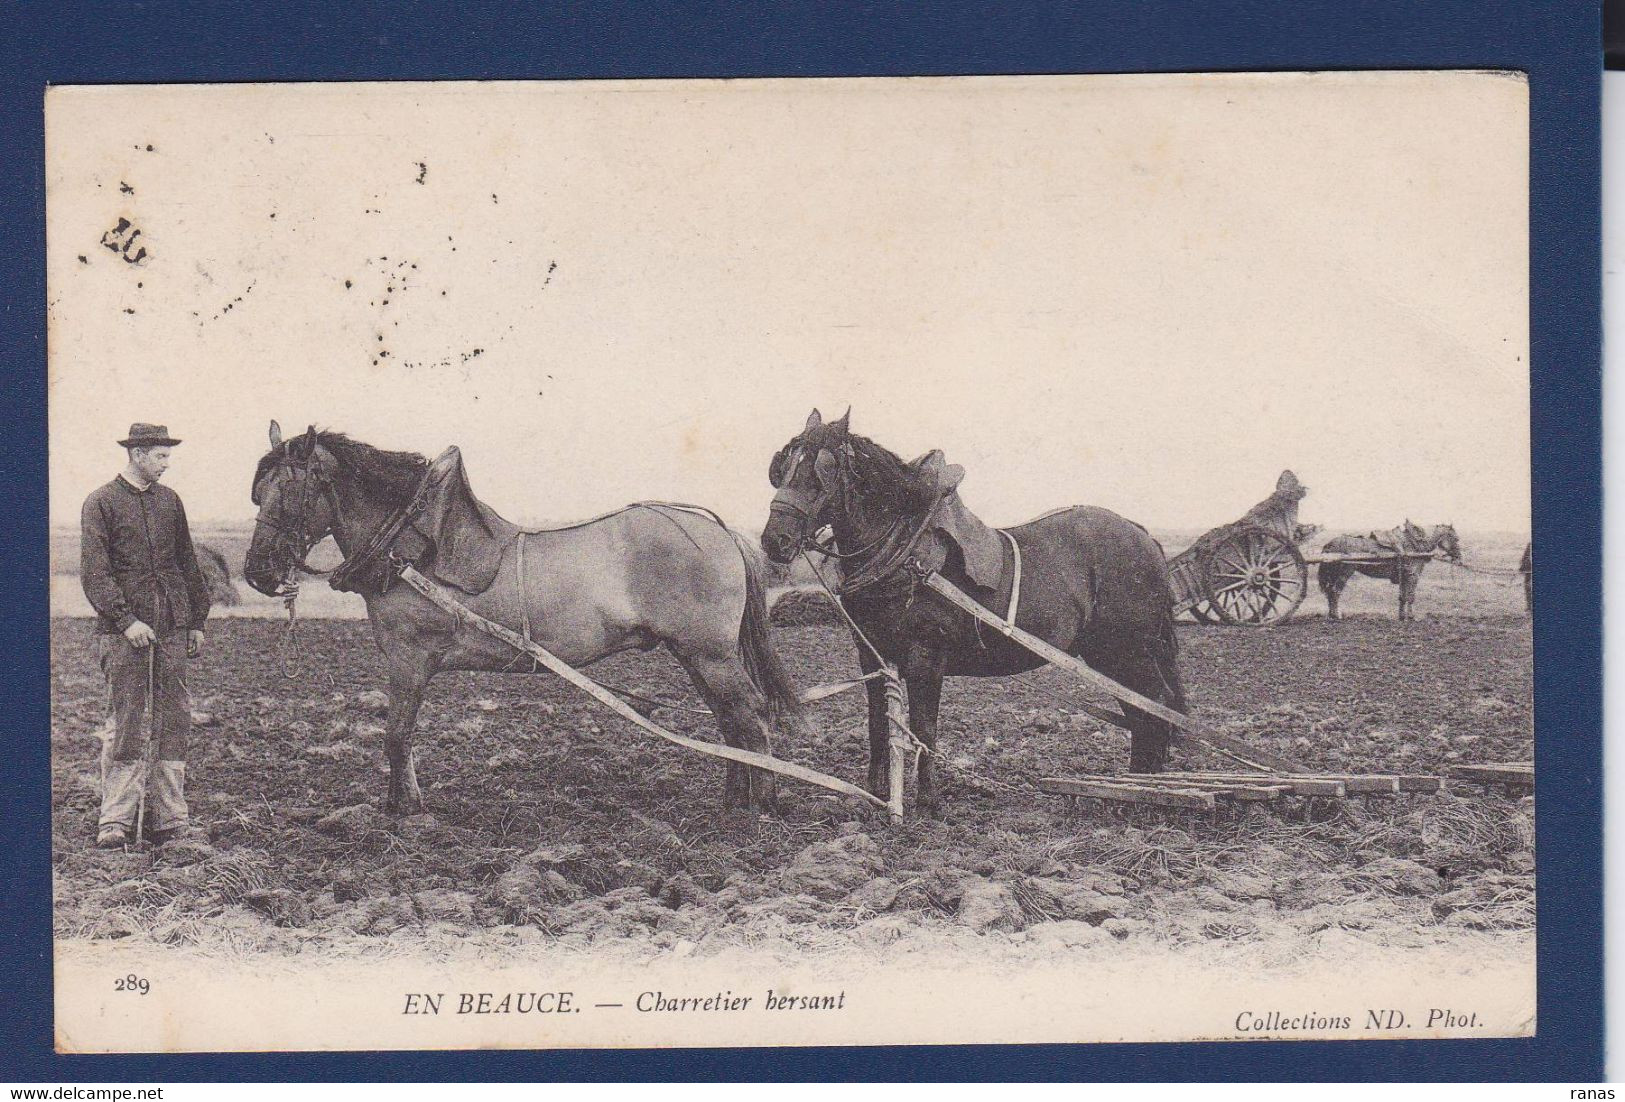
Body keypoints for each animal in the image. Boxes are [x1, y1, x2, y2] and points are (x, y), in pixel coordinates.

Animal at [238, 422, 799, 812]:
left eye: (288, 492)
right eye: (258, 493)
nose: (257, 573)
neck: (409, 549)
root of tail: (724, 533)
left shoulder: (408, 660)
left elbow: (397, 733)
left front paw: (406, 809)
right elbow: (399, 734)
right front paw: (401, 803)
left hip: (711, 655)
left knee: (750, 714)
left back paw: (761, 805)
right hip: (696, 656)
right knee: (730, 721)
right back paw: (735, 799)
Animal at [754, 412, 1189, 812]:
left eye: (819, 472)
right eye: (784, 467)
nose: (774, 541)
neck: (904, 552)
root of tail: (1142, 534)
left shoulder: (926, 657)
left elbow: (924, 727)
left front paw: (928, 801)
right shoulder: (874, 656)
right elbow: (878, 724)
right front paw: (878, 796)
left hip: (1125, 650)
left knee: (1155, 704)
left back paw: (1141, 791)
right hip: (1107, 654)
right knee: (1142, 709)